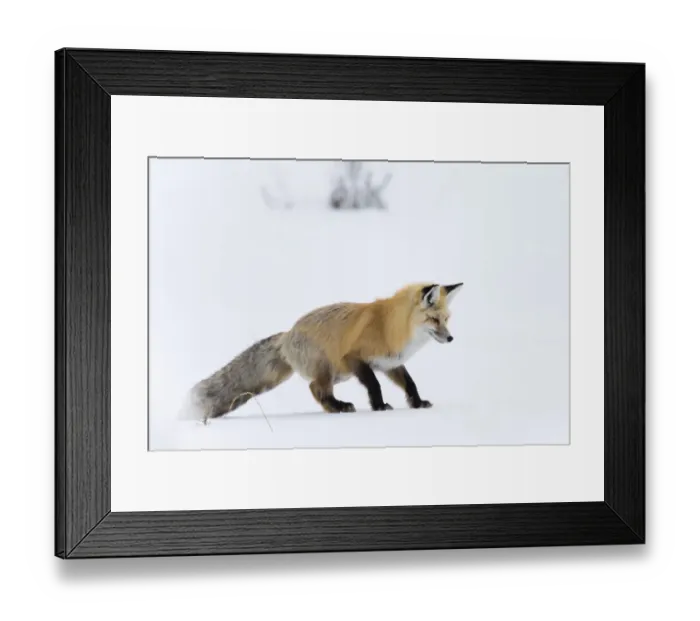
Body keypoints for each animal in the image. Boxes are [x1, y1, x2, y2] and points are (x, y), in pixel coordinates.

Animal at [181, 282, 463, 422]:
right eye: (434, 320)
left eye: (446, 319)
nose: (451, 338)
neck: (391, 326)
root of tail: (286, 335)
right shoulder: (355, 358)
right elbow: (374, 385)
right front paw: (379, 407)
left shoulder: (390, 363)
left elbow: (410, 384)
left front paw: (417, 404)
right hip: (331, 368)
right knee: (316, 390)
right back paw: (339, 406)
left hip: (339, 374)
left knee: (317, 391)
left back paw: (335, 407)